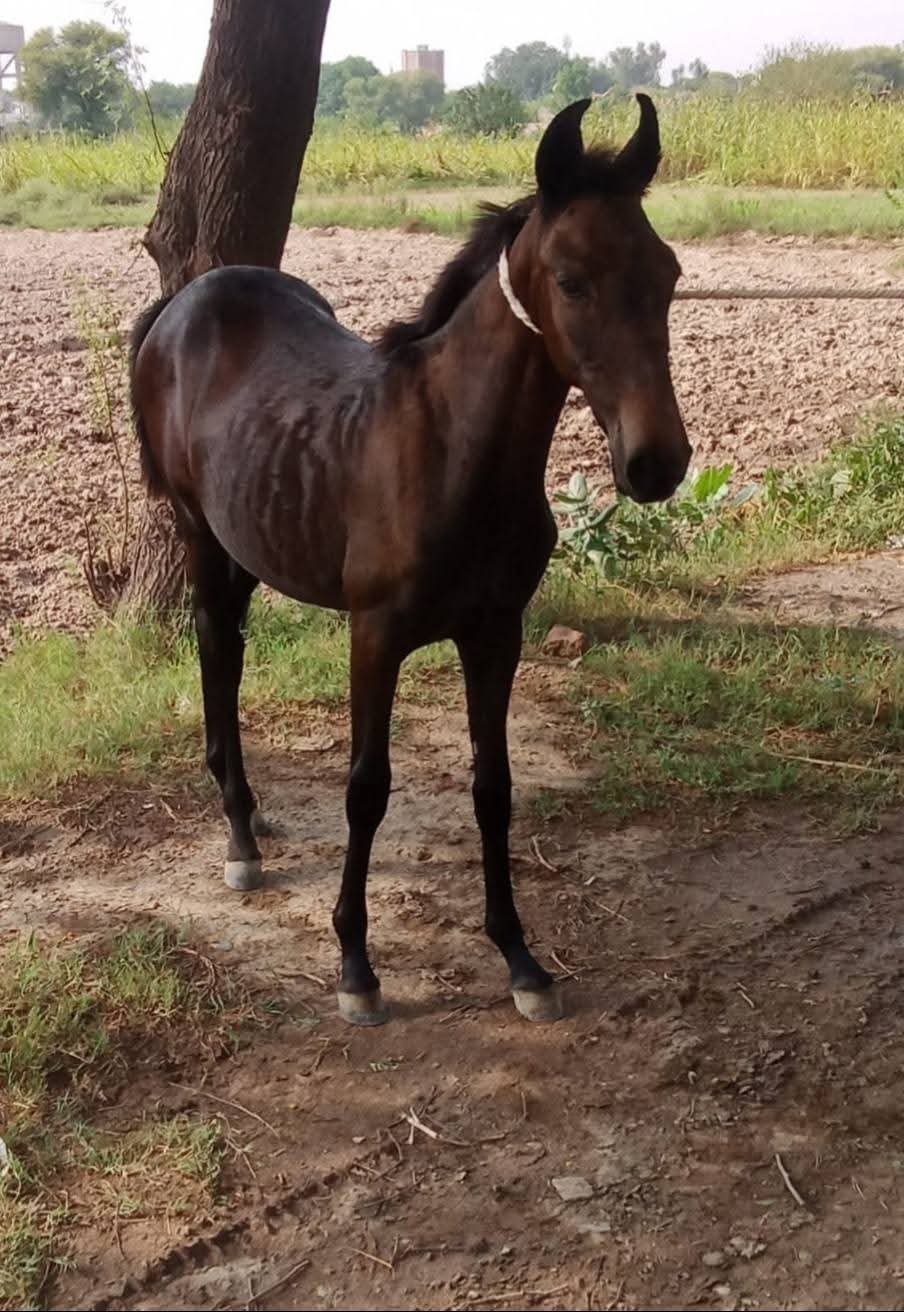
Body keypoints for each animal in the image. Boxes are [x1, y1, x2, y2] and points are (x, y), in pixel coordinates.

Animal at [129, 95, 691, 1027]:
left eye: (671, 272)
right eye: (572, 280)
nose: (657, 464)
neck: (454, 454)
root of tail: (181, 305)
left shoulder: (496, 634)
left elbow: (494, 786)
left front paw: (521, 960)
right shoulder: (376, 635)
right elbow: (367, 788)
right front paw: (356, 967)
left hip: (248, 541)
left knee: (229, 646)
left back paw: (253, 820)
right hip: (197, 533)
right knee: (215, 648)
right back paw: (240, 837)